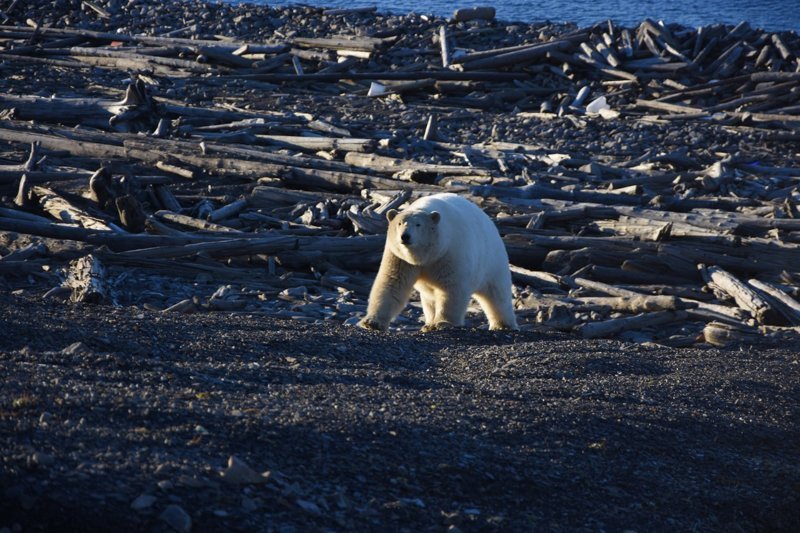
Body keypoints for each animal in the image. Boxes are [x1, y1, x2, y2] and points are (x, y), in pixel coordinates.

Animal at [358, 191, 520, 332]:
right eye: (400, 223)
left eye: (418, 225)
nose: (405, 236)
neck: (426, 256)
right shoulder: (399, 257)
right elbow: (393, 281)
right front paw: (371, 322)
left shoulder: (449, 252)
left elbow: (451, 286)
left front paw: (443, 322)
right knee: (429, 299)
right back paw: (428, 323)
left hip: (492, 262)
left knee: (497, 295)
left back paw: (503, 325)